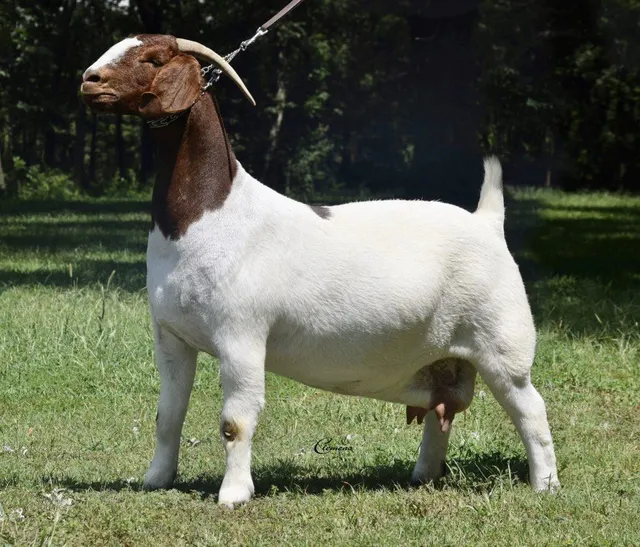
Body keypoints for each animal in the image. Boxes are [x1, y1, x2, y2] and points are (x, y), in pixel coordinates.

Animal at [81, 34, 560, 507]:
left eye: (153, 57)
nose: (89, 79)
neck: (211, 213)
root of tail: (486, 221)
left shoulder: (241, 334)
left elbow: (236, 422)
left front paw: (234, 494)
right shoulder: (171, 335)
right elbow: (168, 414)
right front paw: (156, 479)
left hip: (502, 340)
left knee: (530, 408)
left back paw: (546, 484)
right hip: (443, 356)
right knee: (440, 411)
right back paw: (423, 475)